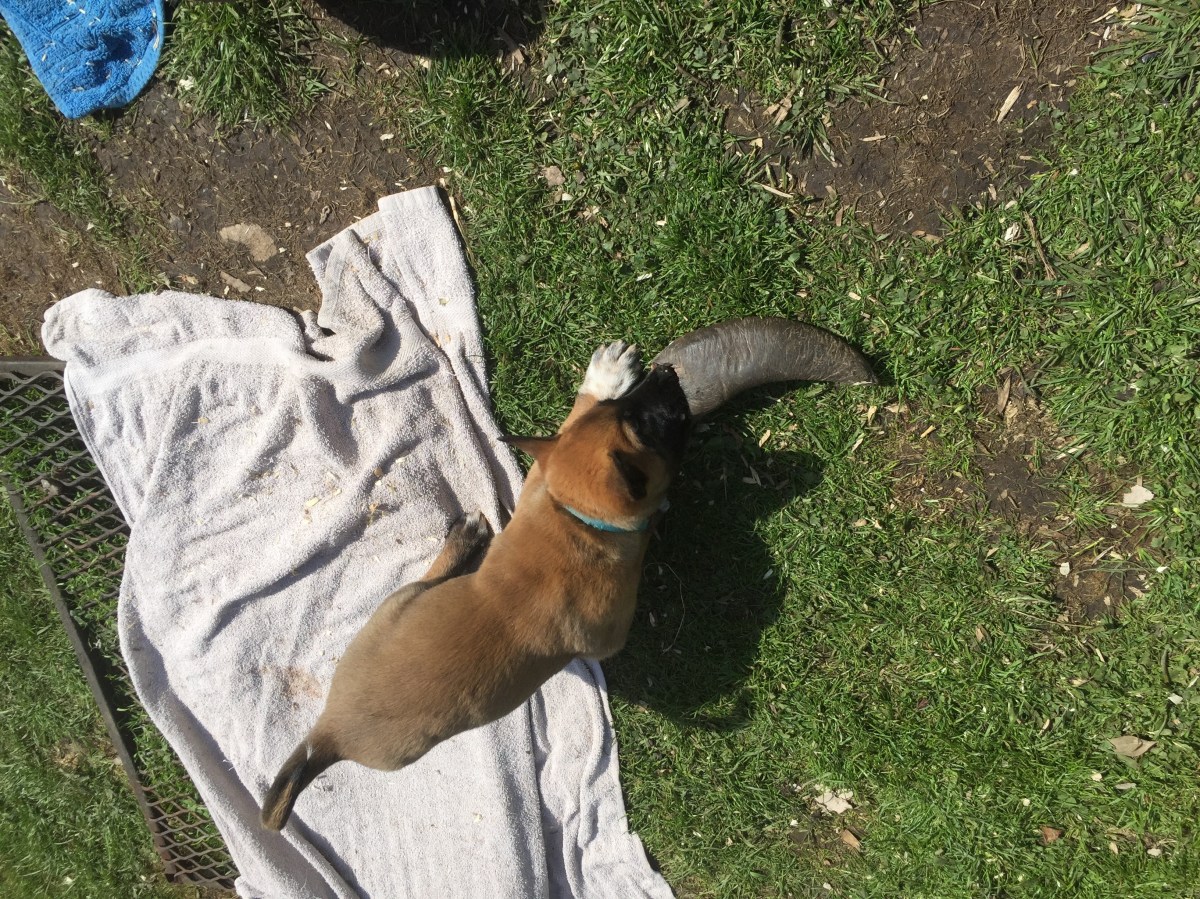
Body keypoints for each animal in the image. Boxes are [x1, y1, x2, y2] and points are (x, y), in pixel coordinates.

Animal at [261, 340, 690, 830]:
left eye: (626, 410)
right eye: (647, 425)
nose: (667, 372)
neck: (575, 518)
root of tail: (331, 731)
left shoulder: (543, 476)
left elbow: (569, 425)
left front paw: (605, 376)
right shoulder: (606, 631)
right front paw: (658, 512)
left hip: (393, 609)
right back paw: (464, 541)